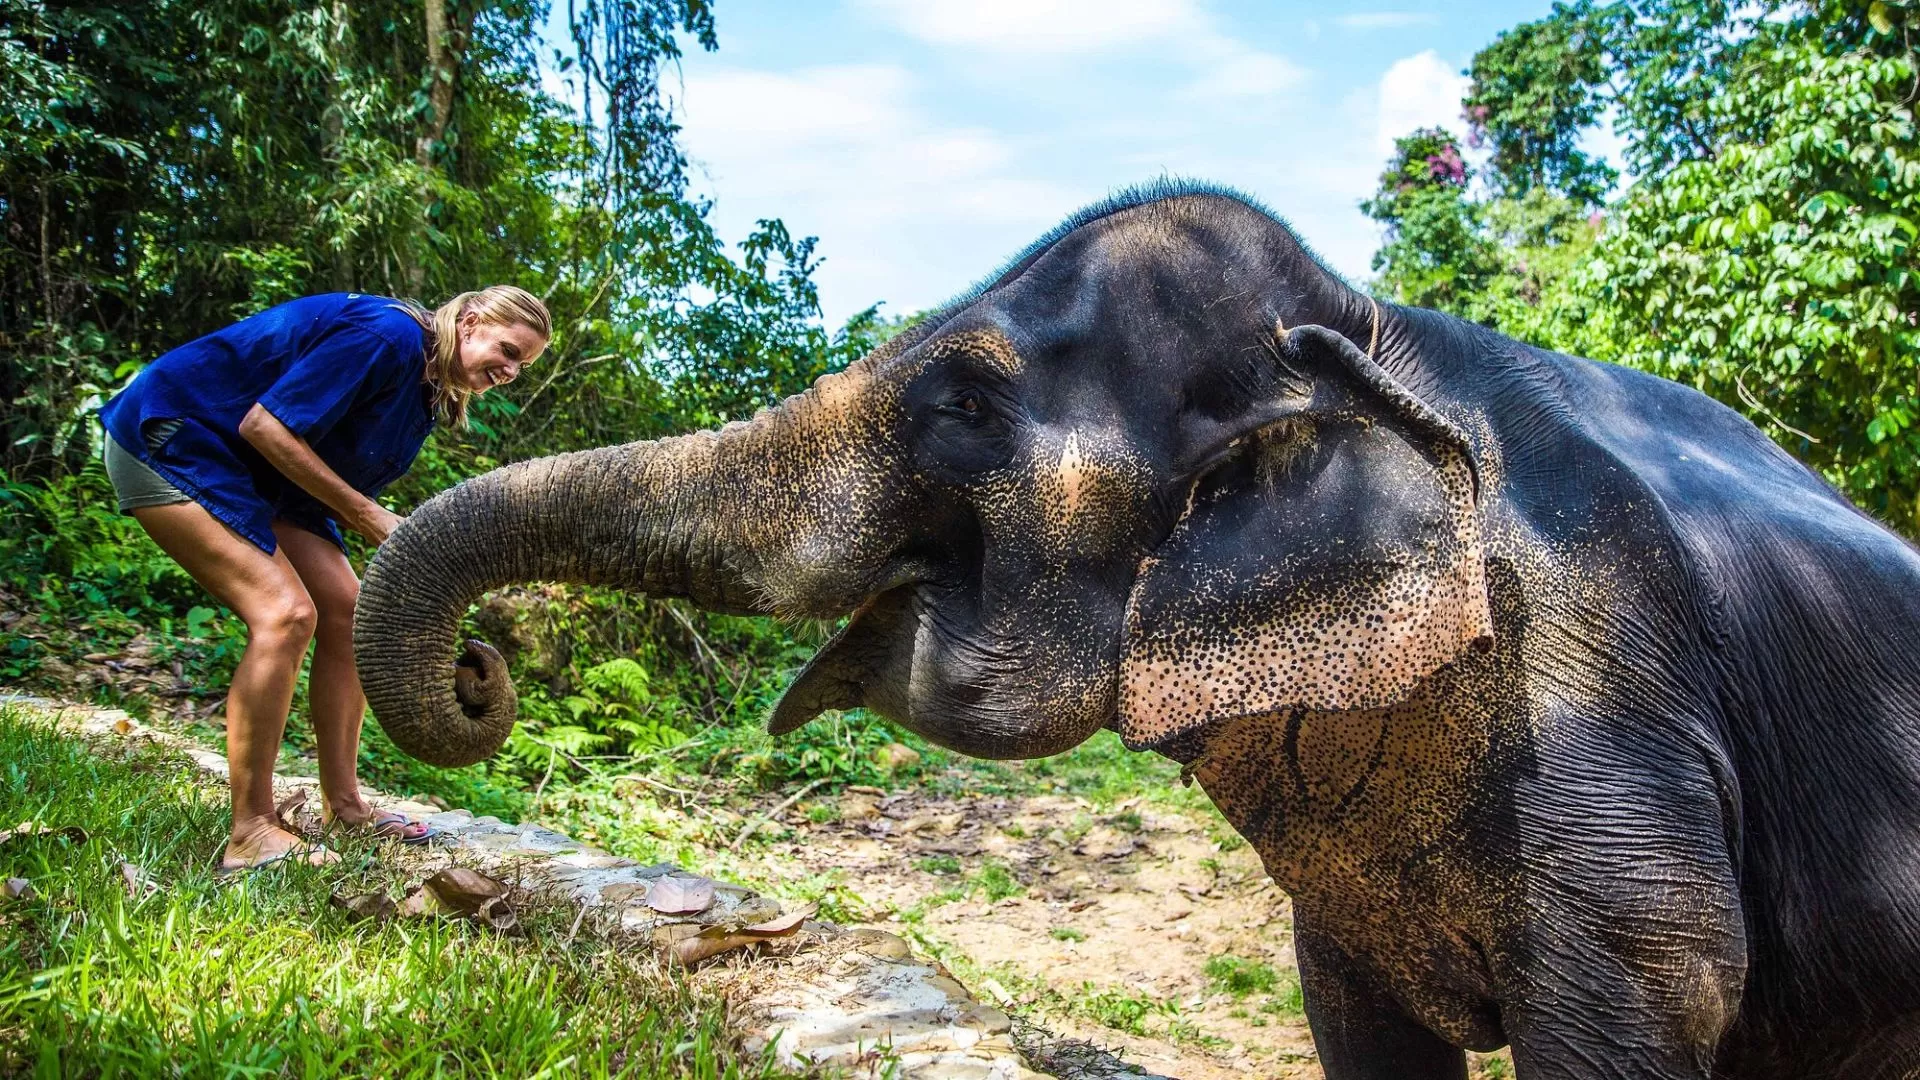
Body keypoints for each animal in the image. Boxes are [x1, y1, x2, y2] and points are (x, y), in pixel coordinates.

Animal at [353, 183, 1920, 1079]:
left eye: (962, 402)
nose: (481, 672)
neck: (1378, 334)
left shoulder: (1606, 726)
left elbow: (1649, 1003)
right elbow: (1360, 1028)